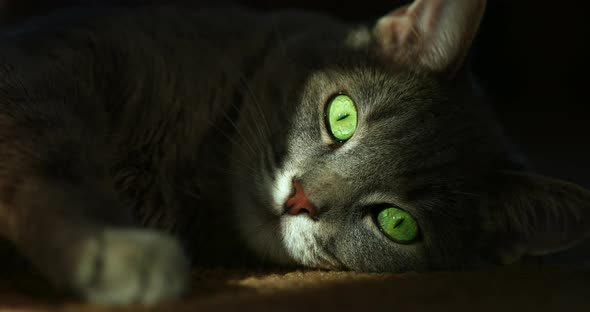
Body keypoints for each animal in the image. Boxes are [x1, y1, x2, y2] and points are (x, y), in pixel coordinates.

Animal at [1, 0, 590, 304]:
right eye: (341, 115)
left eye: (397, 223)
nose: (300, 199)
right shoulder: (55, 69)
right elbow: (57, 167)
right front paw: (113, 248)